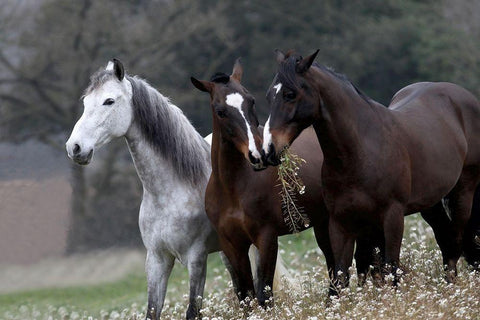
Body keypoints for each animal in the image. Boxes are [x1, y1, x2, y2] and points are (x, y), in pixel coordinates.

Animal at [264, 49, 480, 288]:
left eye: (290, 94)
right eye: (269, 96)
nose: (268, 149)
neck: (361, 152)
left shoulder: (393, 217)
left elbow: (391, 269)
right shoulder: (341, 223)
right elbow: (342, 277)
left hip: (463, 193)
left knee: (456, 241)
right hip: (431, 203)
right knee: (446, 241)